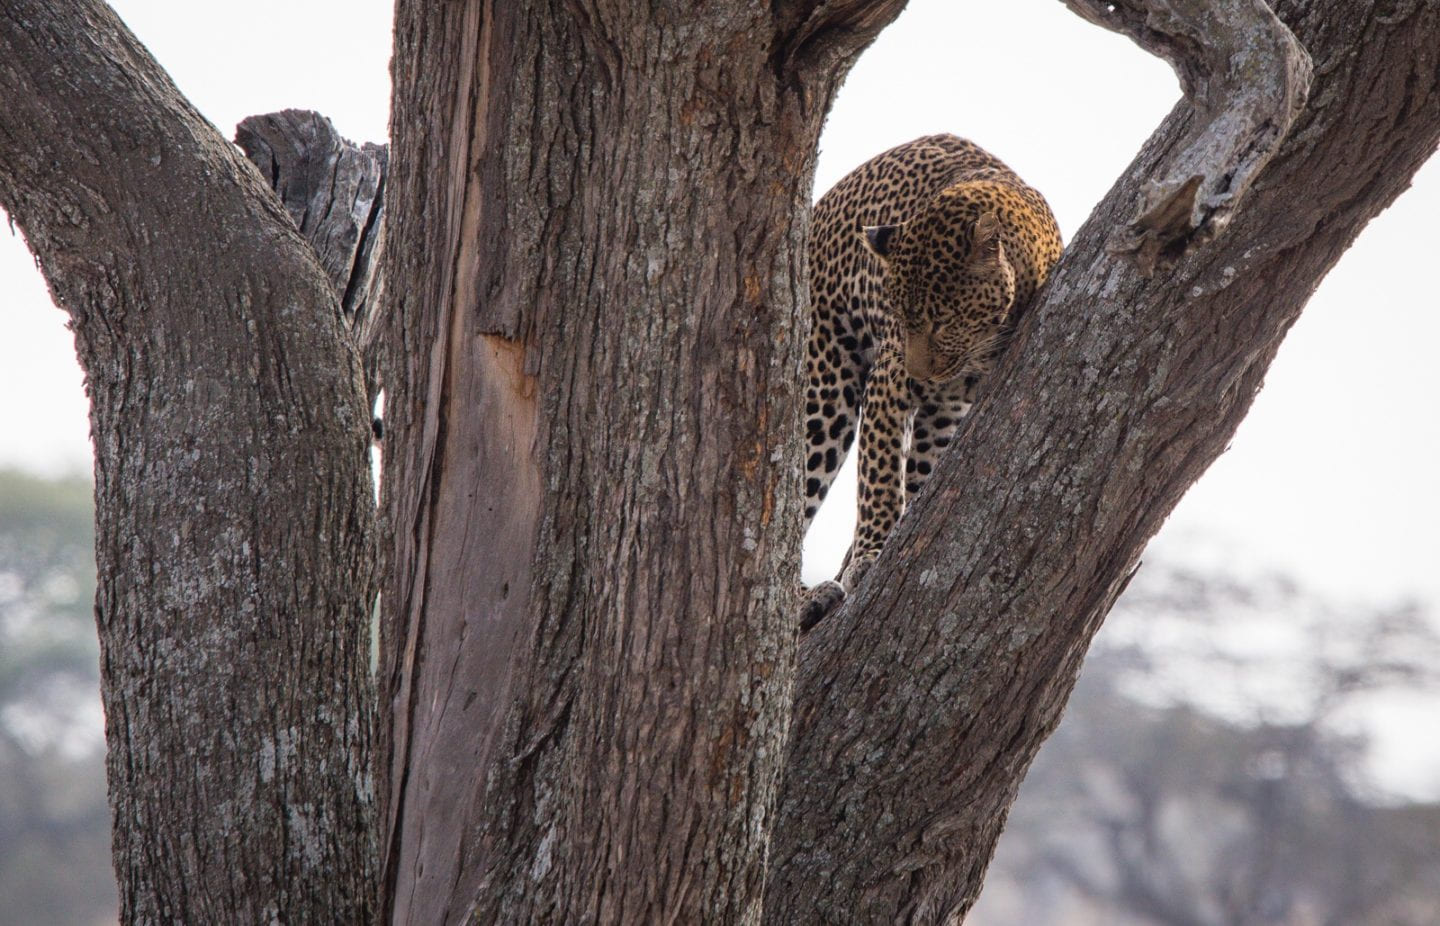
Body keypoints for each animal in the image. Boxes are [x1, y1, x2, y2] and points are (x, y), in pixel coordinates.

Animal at [800, 134, 1062, 628]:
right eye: (900, 317)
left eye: (942, 321)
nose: (918, 372)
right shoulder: (887, 382)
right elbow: (880, 476)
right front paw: (870, 554)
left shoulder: (949, 409)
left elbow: (914, 478)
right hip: (823, 388)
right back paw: (804, 598)